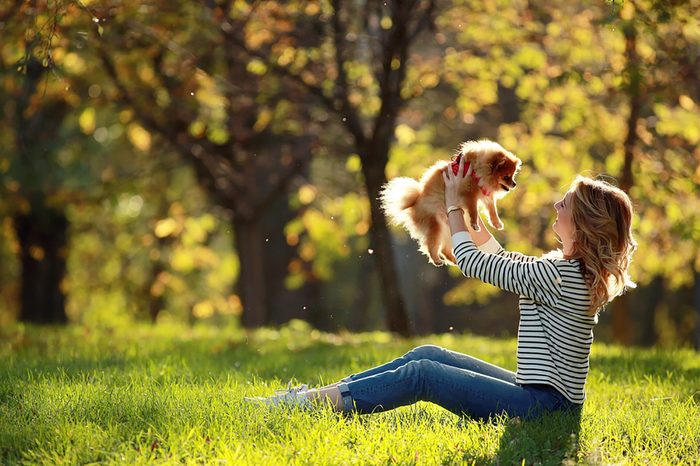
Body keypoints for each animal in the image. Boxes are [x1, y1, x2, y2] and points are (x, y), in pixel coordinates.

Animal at [378, 138, 520, 266]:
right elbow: (473, 210)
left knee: (444, 249)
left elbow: (492, 210)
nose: (514, 184)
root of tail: (414, 203)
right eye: (506, 177)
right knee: (431, 246)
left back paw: (455, 261)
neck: (478, 169)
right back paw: (436, 259)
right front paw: (475, 224)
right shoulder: (469, 194)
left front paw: (496, 223)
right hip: (435, 226)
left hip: (446, 229)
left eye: (513, 176)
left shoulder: (485, 193)